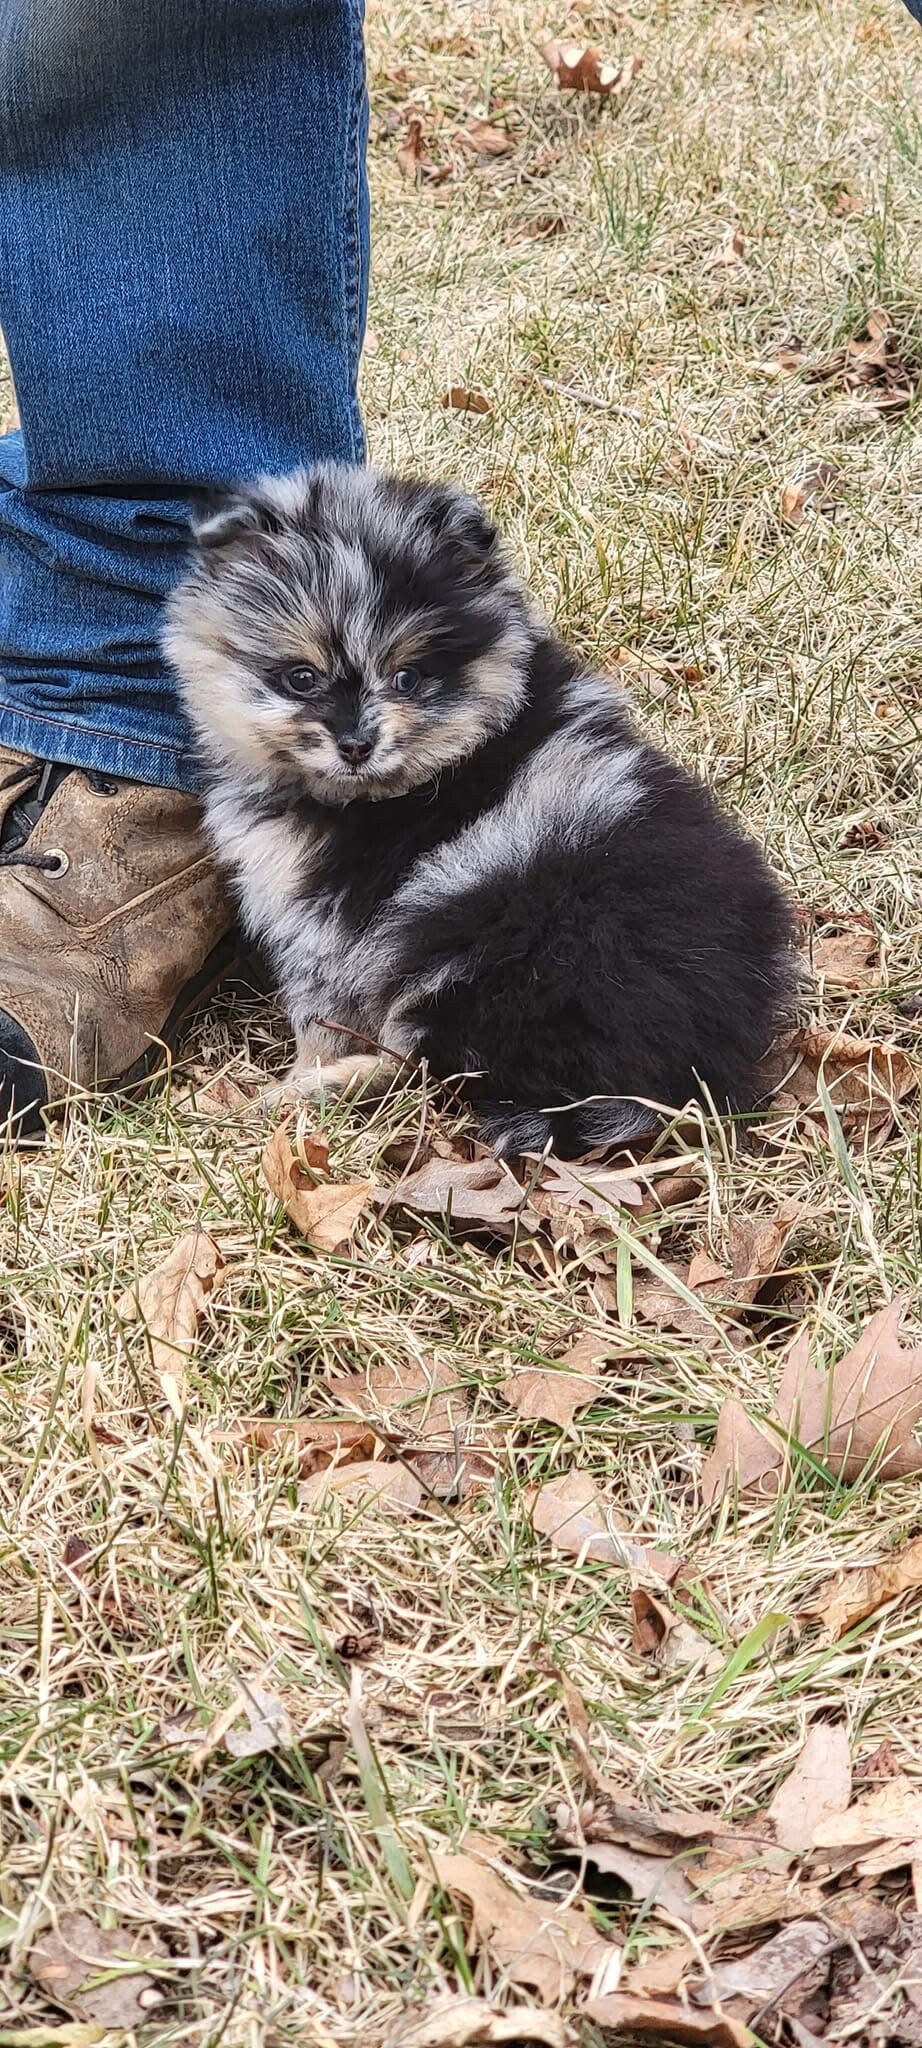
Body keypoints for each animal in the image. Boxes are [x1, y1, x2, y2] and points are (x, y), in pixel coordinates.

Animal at [166, 465, 793, 1155]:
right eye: (300, 677)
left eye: (408, 678)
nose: (356, 744)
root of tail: (693, 1067)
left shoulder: (328, 926)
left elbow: (321, 1016)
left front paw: (306, 1075)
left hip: (478, 935)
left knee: (426, 1065)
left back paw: (328, 1087)